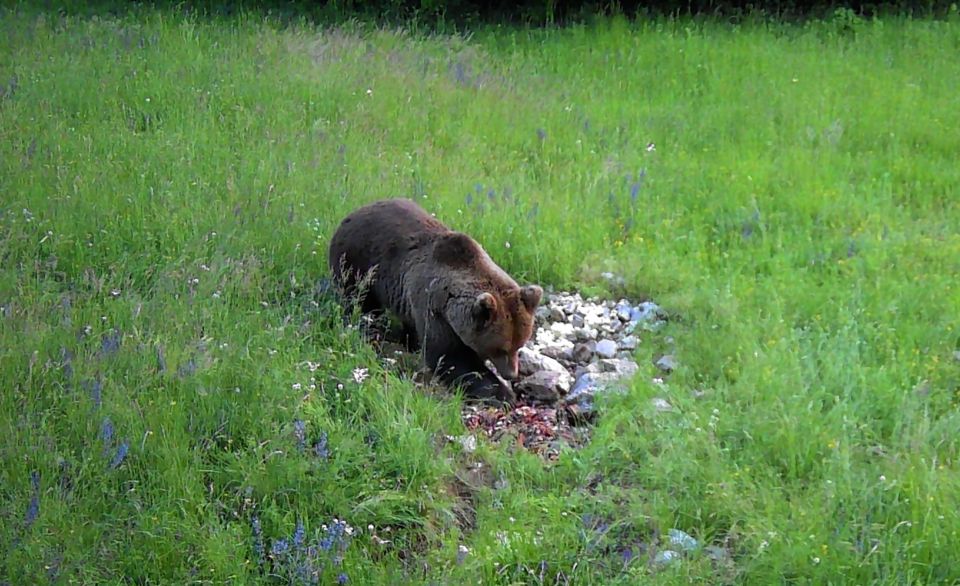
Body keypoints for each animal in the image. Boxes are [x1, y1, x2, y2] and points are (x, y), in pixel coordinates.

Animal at [328, 198, 540, 404]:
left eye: (519, 345)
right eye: (501, 348)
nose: (511, 374)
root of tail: (351, 214)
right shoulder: (433, 307)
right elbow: (448, 356)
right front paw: (502, 393)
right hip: (357, 263)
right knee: (361, 304)